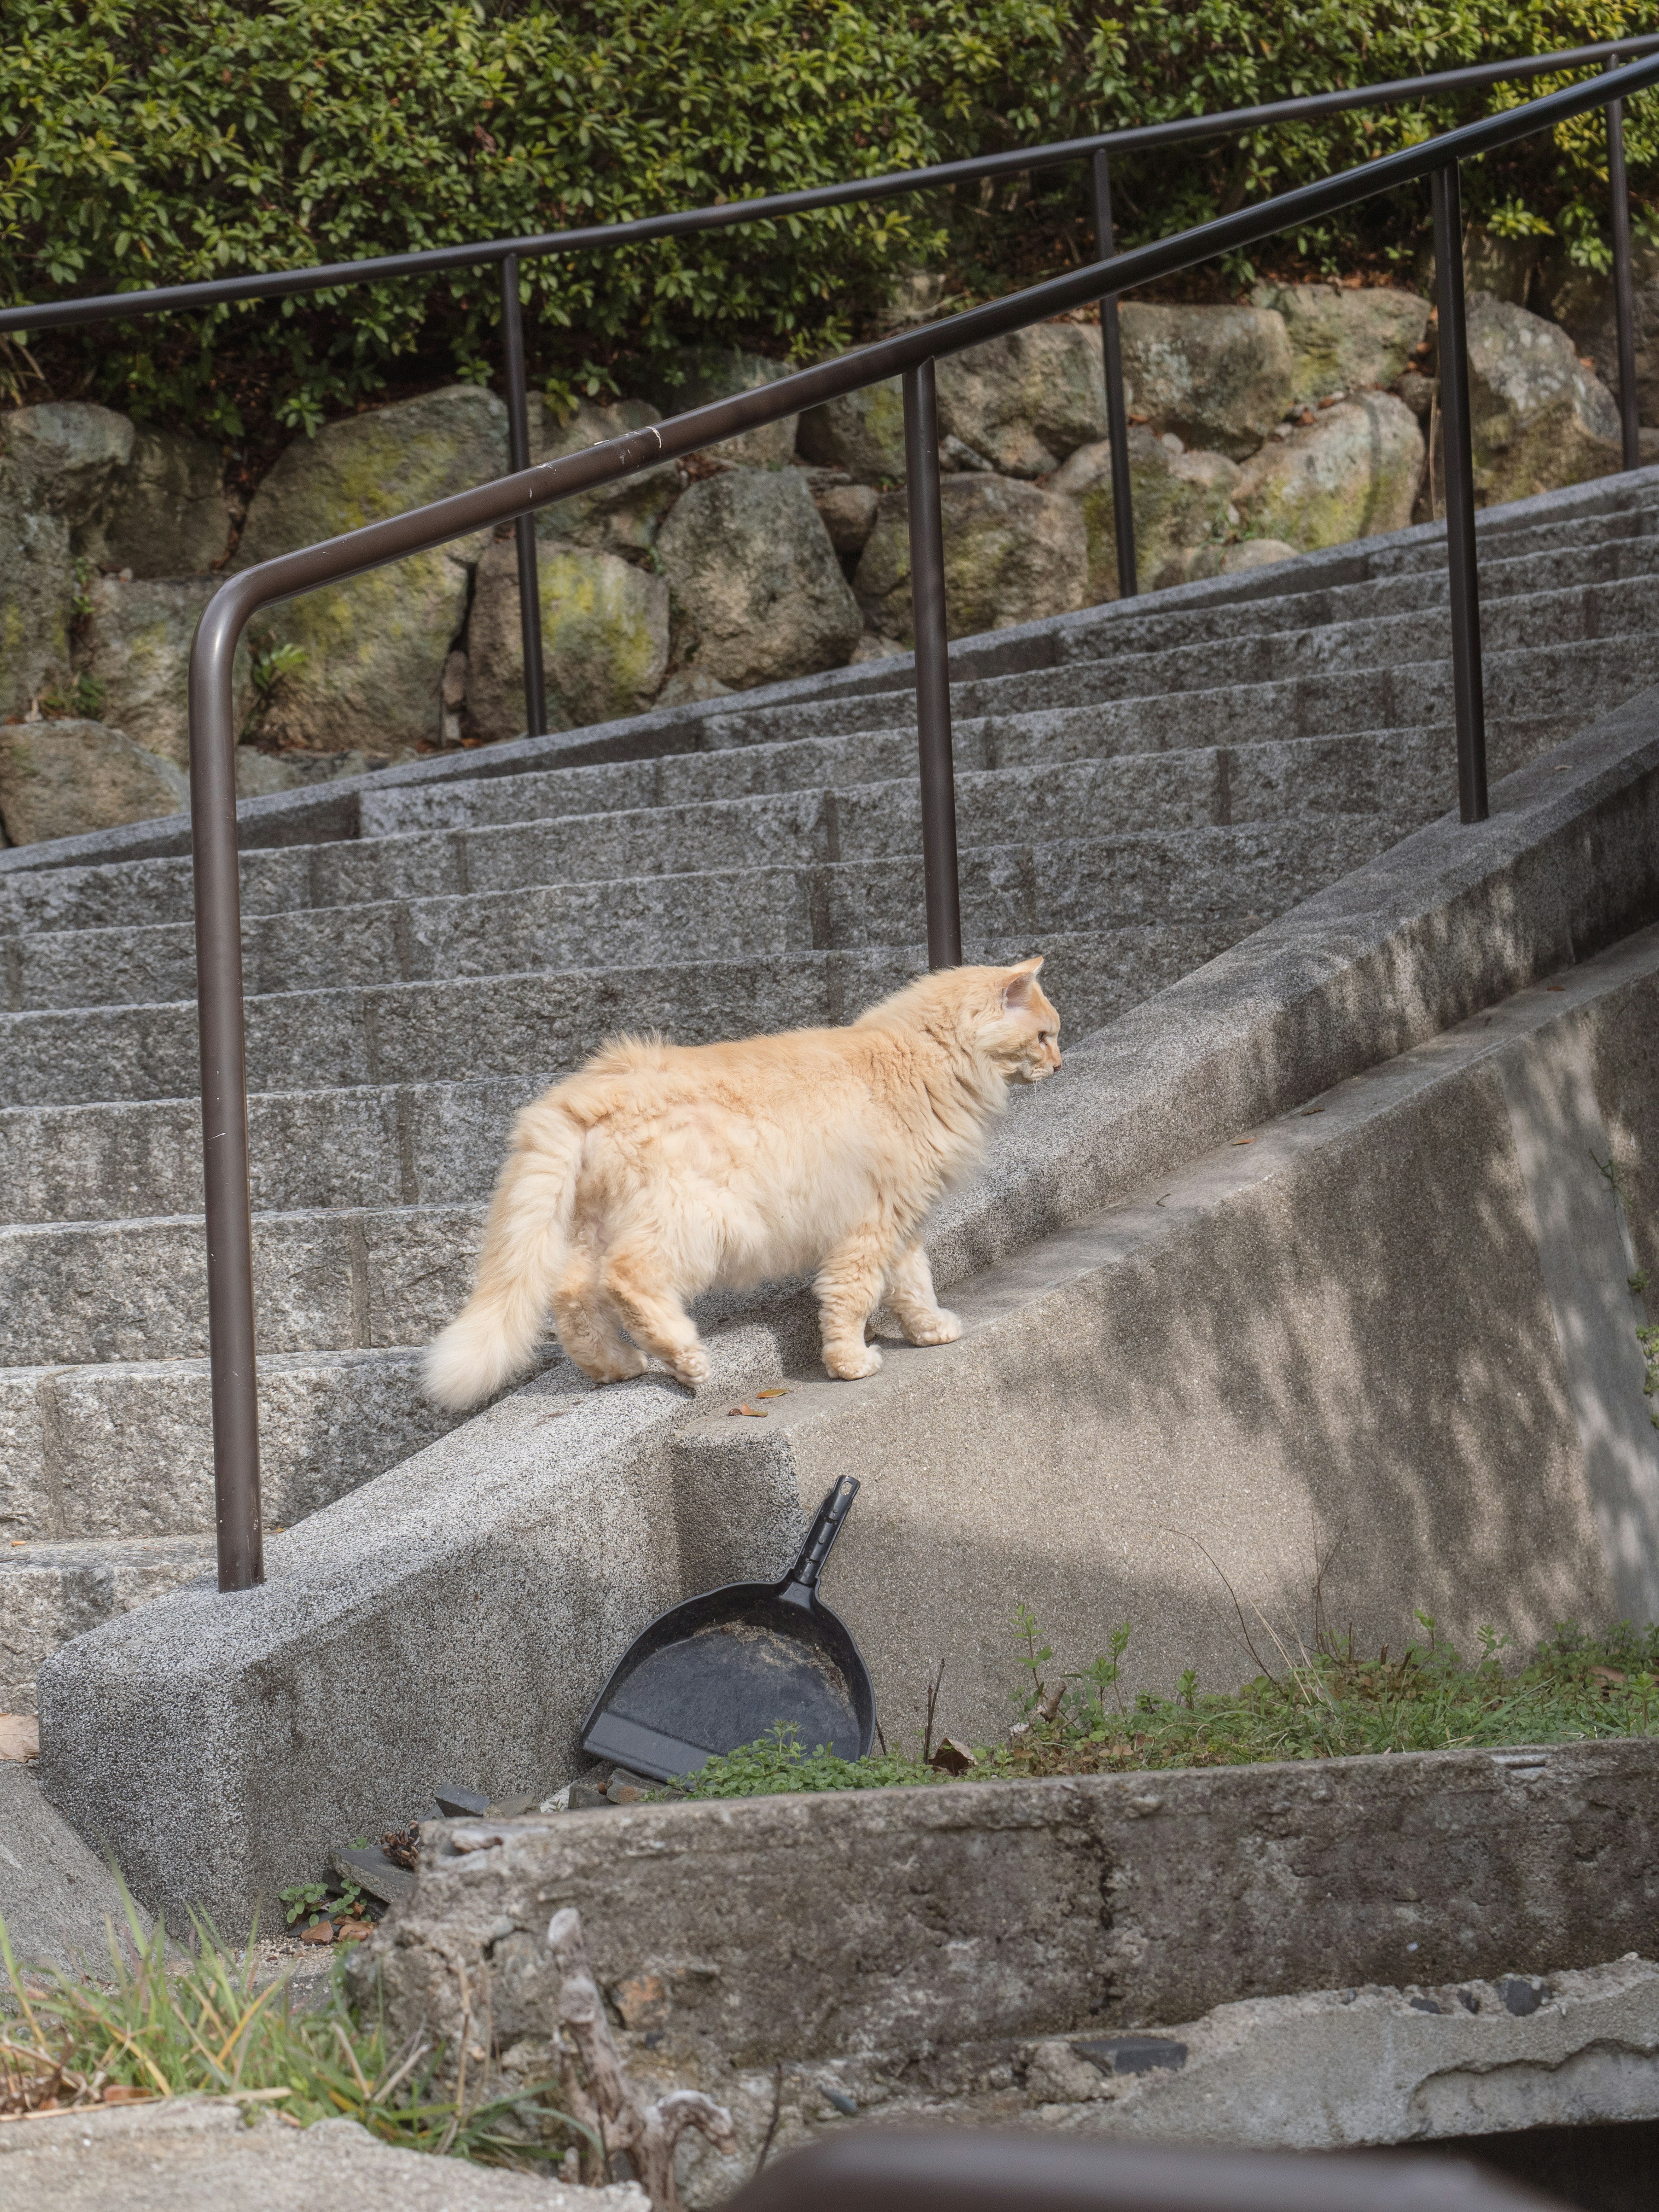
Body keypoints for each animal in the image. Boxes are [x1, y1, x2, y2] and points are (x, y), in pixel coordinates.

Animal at [422, 960, 1057, 1407]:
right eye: (1045, 1036)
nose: (1060, 1063)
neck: (921, 1060)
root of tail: (587, 1089)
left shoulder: (897, 1221)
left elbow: (914, 1286)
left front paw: (930, 1331)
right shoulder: (869, 1224)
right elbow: (853, 1297)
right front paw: (851, 1363)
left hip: (596, 1225)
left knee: (572, 1294)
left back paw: (616, 1367)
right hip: (691, 1220)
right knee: (626, 1279)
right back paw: (686, 1360)